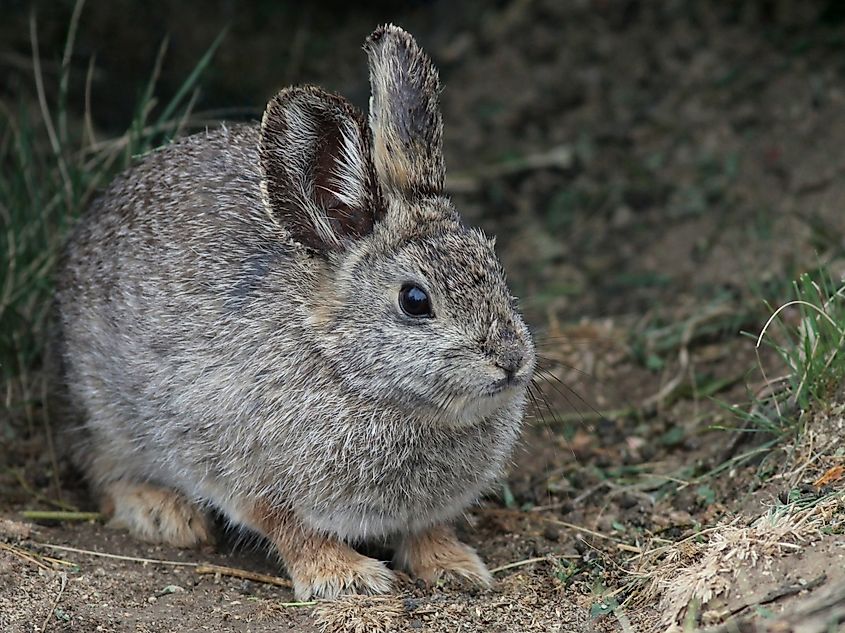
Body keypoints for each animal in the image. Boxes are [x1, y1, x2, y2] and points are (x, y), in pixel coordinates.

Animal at [53, 24, 535, 600]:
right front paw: (346, 577)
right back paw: (164, 514)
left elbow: (426, 529)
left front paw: (455, 566)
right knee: (102, 470)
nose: (511, 360)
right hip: (104, 411)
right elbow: (294, 531)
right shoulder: (248, 474)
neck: (347, 371)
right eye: (415, 301)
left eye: (495, 265)